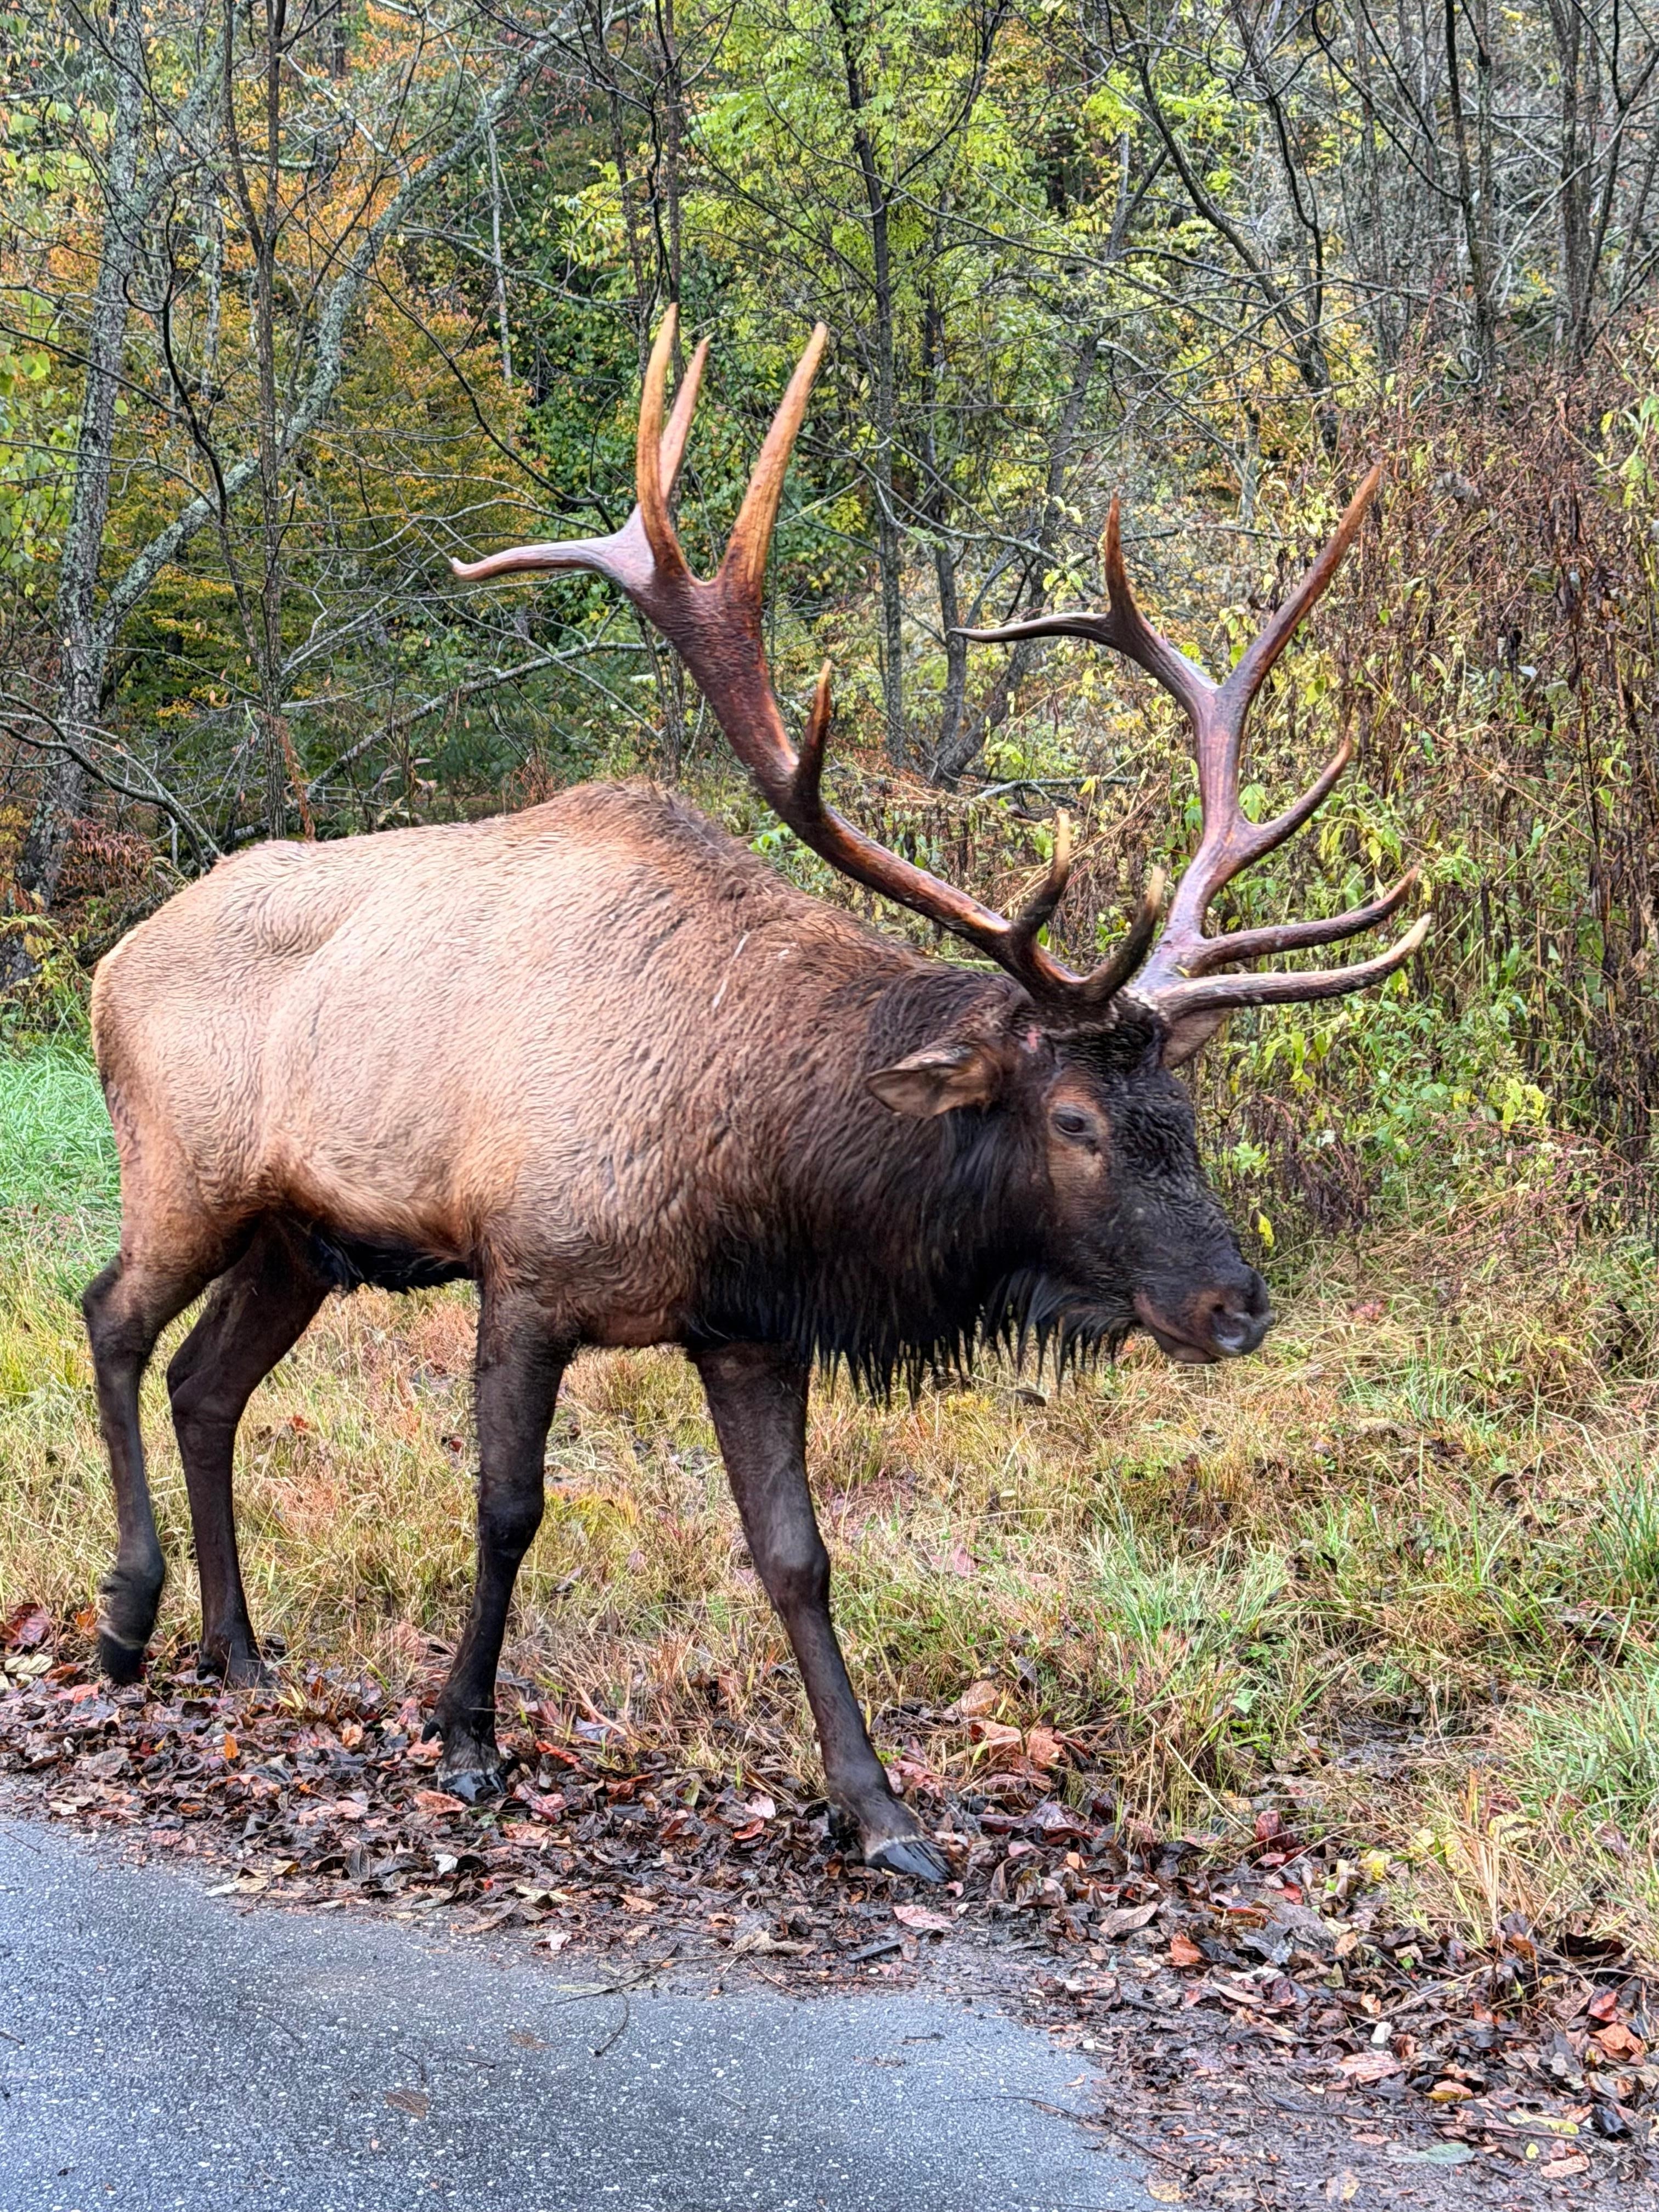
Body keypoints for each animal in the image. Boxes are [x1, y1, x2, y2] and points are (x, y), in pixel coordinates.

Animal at [82, 312, 1425, 1881]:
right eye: (1077, 1123)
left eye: (1188, 1121)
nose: (1237, 1305)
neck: (749, 1162)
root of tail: (111, 963)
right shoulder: (527, 1272)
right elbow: (508, 1508)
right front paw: (465, 1736)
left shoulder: (749, 1324)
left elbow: (798, 1556)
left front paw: (881, 1809)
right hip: (184, 1173)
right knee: (111, 1321)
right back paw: (128, 1618)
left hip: (299, 1236)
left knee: (206, 1385)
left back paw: (235, 1648)